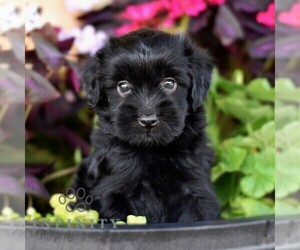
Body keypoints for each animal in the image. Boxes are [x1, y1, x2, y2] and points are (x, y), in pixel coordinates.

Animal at [74, 29, 220, 223]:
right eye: (123, 86)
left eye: (169, 83)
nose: (148, 120)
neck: (153, 151)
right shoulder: (113, 193)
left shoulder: (195, 188)